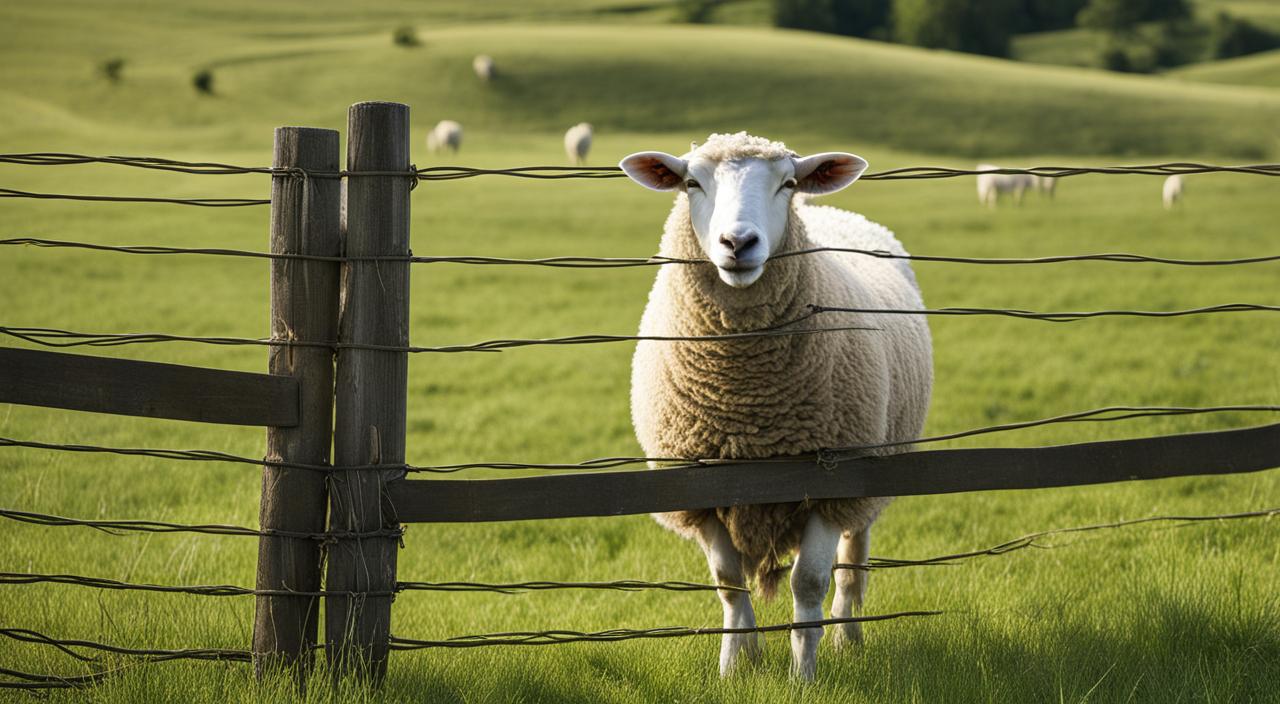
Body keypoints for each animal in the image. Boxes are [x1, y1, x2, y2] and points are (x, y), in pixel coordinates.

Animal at [619, 132, 931, 686]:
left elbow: (808, 583)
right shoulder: (702, 490)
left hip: (869, 472)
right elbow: (728, 582)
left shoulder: (829, 483)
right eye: (692, 182)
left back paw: (848, 637)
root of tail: (833, 210)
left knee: (853, 562)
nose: (738, 244)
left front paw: (803, 674)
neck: (747, 404)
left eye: (787, 183)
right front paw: (736, 666)